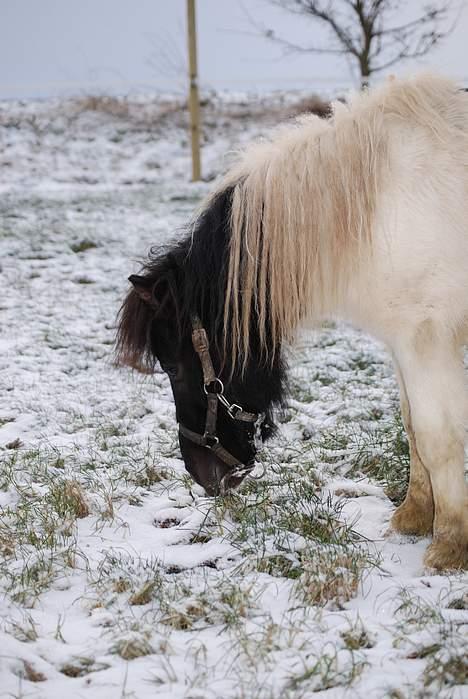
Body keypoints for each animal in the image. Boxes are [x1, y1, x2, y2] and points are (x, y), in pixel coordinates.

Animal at [118, 74, 468, 572]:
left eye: (174, 367)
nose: (202, 476)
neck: (379, 207)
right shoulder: (404, 345)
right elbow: (413, 429)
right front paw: (414, 517)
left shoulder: (429, 341)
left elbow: (438, 438)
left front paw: (449, 545)